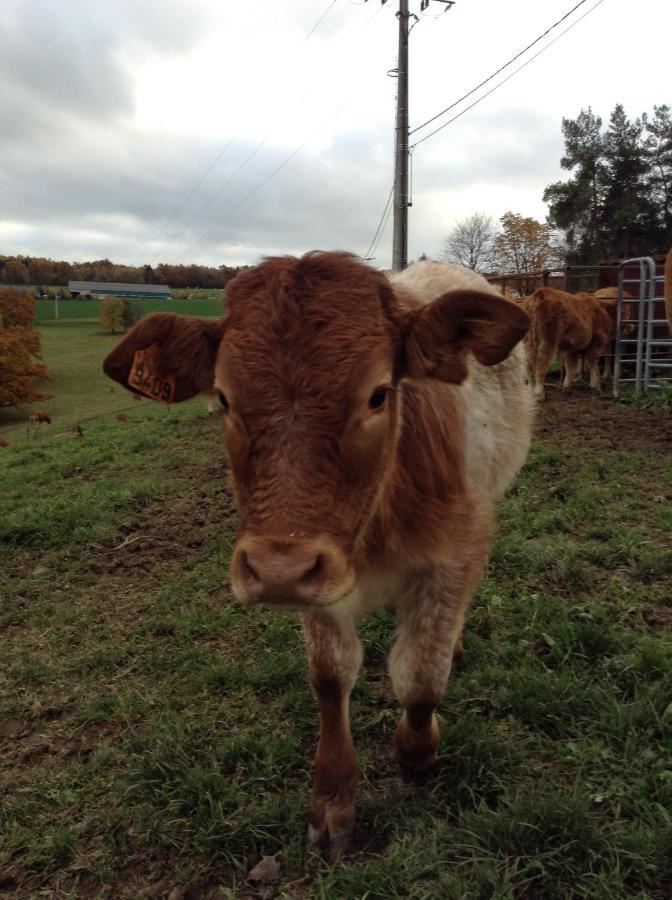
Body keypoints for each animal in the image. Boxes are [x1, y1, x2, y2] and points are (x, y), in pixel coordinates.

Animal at [103, 253, 536, 856]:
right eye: (223, 398)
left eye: (378, 394)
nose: (275, 572)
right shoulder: (312, 575)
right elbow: (331, 679)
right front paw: (333, 799)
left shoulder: (452, 555)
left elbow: (422, 676)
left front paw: (417, 750)